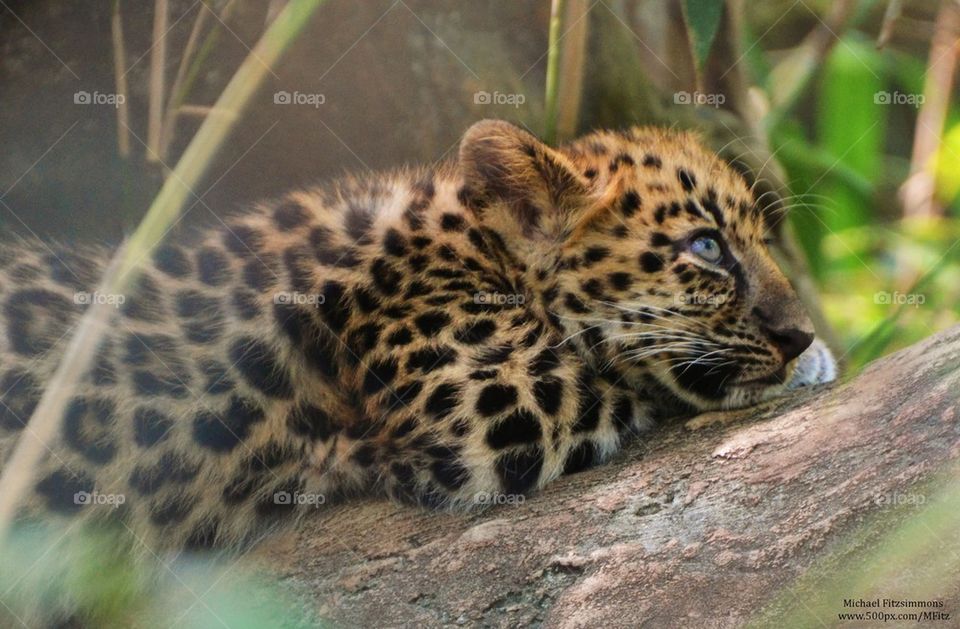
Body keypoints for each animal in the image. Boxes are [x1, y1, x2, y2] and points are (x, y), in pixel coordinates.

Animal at [0, 119, 836, 563]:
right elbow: (622, 371)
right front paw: (810, 365)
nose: (799, 332)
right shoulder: (483, 399)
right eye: (706, 247)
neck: (474, 244)